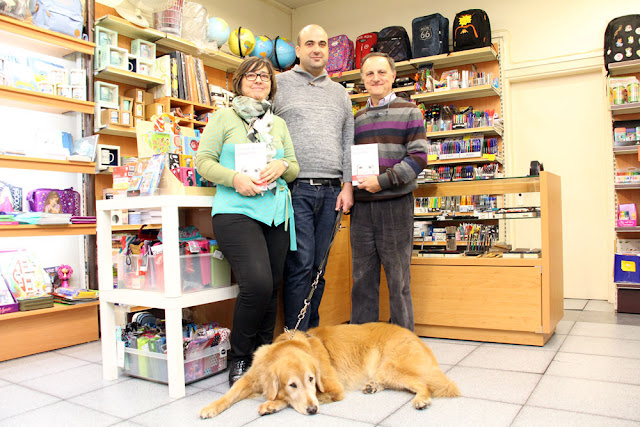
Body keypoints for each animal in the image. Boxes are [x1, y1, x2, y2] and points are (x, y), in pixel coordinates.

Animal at [200, 324, 460, 418]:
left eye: (311, 379)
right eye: (292, 384)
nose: (313, 411)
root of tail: (415, 336)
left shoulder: (333, 389)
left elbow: (293, 399)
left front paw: (272, 404)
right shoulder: (250, 377)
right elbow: (229, 394)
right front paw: (210, 407)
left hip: (391, 367)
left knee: (424, 385)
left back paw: (422, 400)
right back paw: (372, 386)